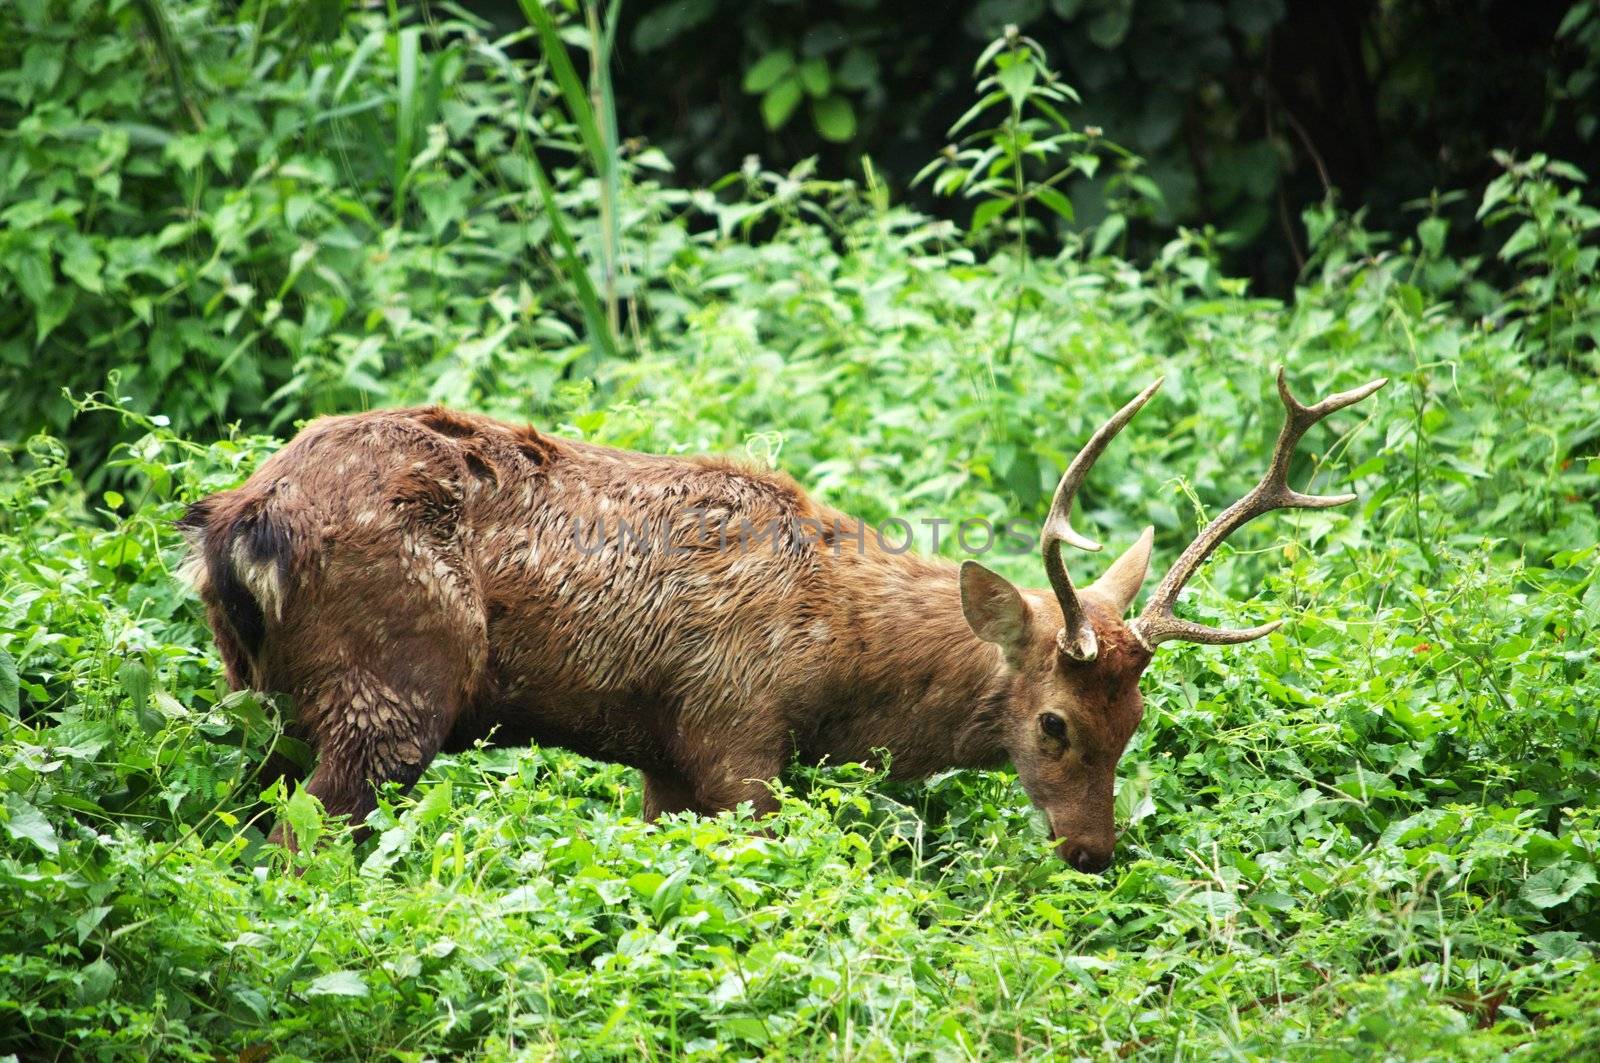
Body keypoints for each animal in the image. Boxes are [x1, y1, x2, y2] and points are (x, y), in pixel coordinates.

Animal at [184, 369, 1388, 870]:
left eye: (1137, 724)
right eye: (1054, 722)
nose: (1094, 852)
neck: (830, 668)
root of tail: (241, 518)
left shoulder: (663, 756)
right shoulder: (734, 731)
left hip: (259, 690)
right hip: (393, 684)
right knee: (297, 843)